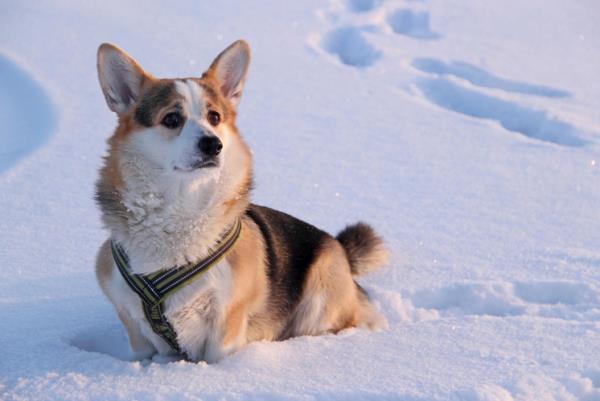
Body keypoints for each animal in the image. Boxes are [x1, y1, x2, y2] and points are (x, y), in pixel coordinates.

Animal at [95, 39, 390, 360]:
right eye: (172, 119)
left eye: (214, 117)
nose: (213, 144)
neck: (180, 207)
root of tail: (342, 249)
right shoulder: (135, 327)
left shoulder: (225, 322)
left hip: (321, 289)